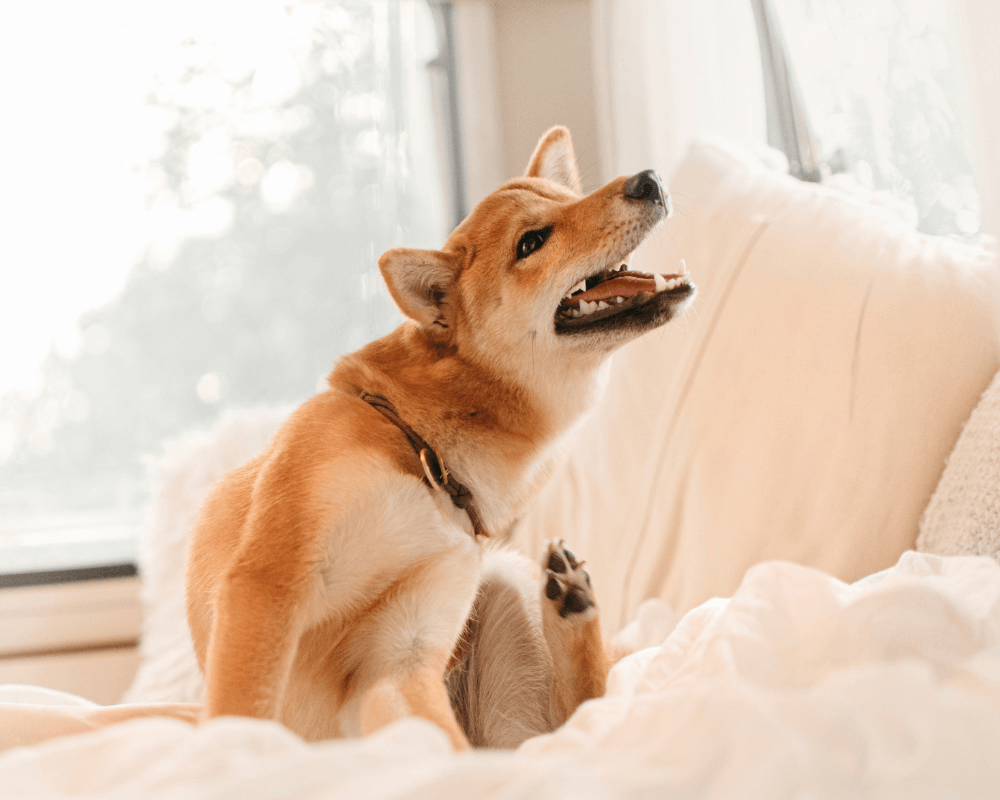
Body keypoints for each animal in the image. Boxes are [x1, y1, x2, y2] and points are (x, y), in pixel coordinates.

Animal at [182, 126, 696, 752]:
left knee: (580, 712)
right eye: (532, 242)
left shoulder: (399, 654)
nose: (647, 180)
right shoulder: (270, 580)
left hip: (498, 585)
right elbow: (242, 709)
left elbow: (456, 754)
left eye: (566, 199)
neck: (426, 454)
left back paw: (574, 608)